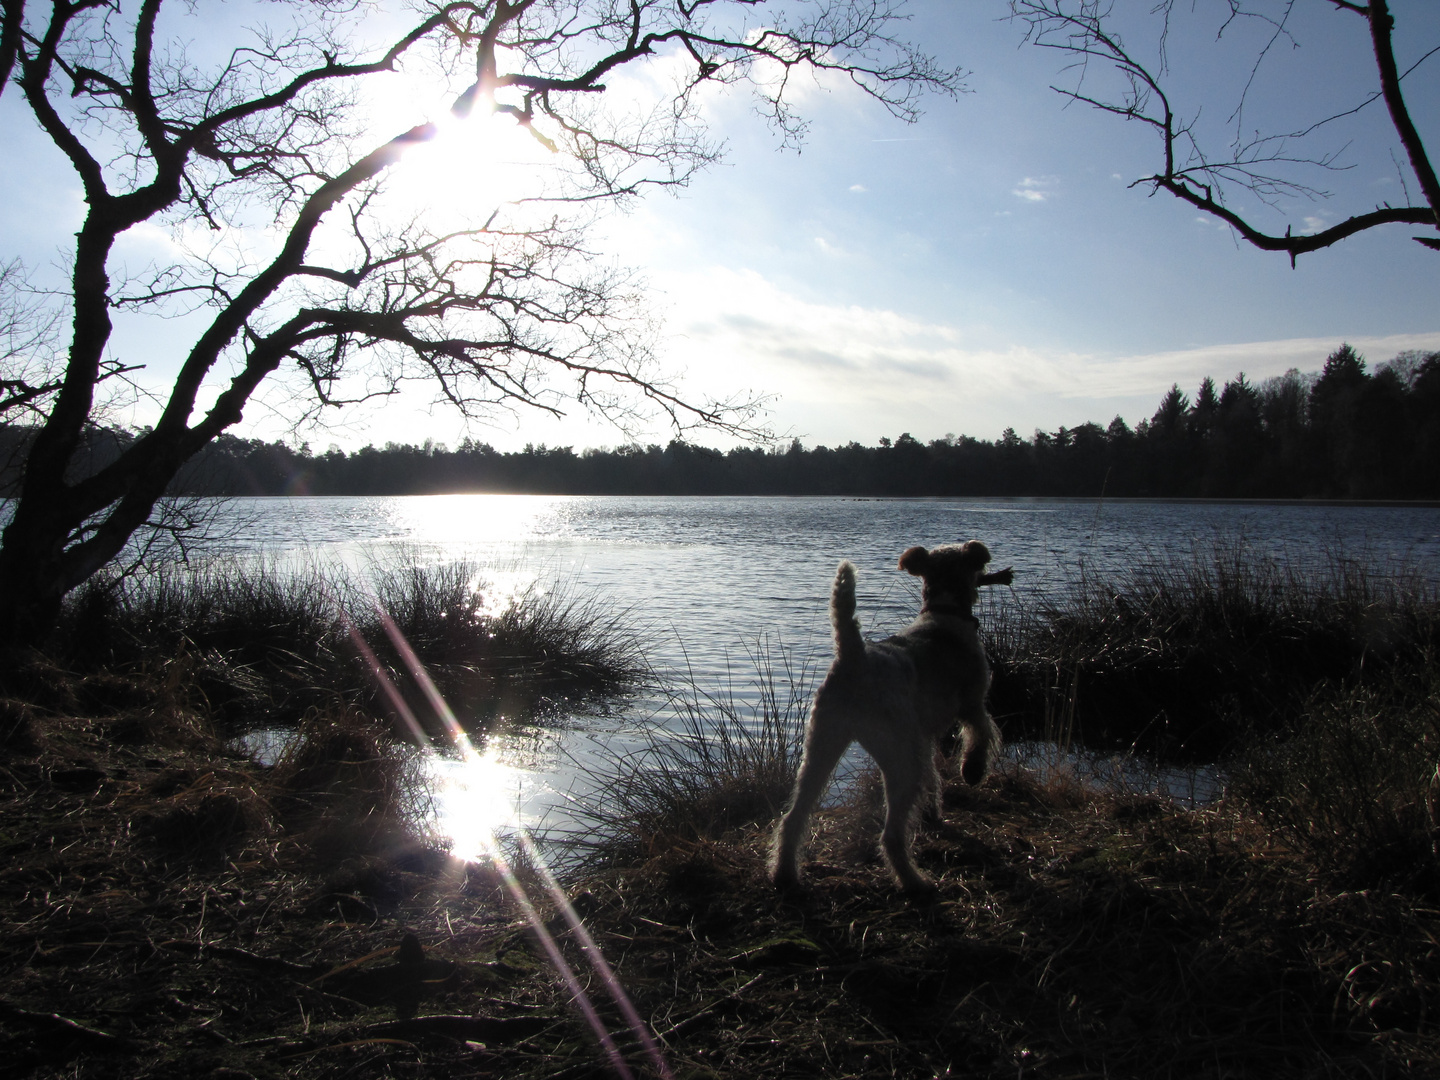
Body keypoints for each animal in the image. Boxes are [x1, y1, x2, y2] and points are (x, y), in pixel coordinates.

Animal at [766, 538, 1013, 898]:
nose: (993, 574)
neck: (943, 611)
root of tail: (854, 656)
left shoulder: (923, 736)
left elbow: (934, 775)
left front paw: (933, 812)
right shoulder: (972, 703)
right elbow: (981, 734)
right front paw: (972, 771)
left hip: (821, 747)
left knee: (792, 818)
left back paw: (784, 874)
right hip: (899, 758)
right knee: (891, 836)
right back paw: (915, 882)